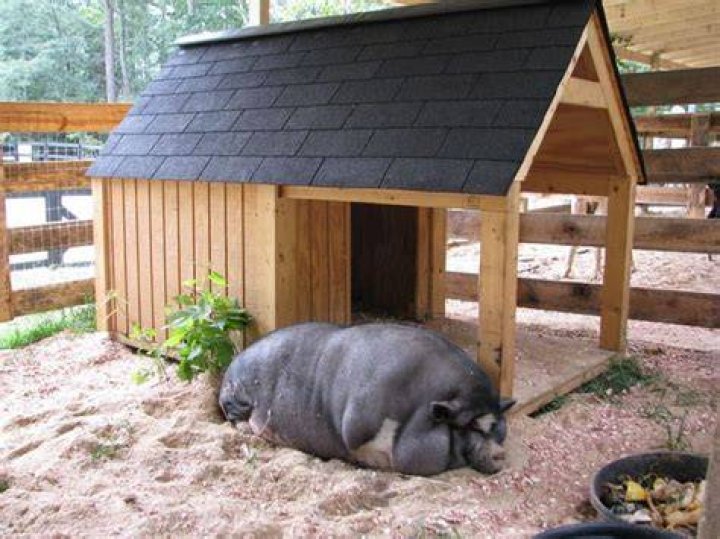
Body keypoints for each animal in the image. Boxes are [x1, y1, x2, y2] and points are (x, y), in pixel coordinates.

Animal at [219, 323, 515, 476]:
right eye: (470, 425)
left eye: (496, 426)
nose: (500, 454)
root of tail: (232, 364)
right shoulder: (359, 424)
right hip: (236, 397)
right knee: (236, 418)